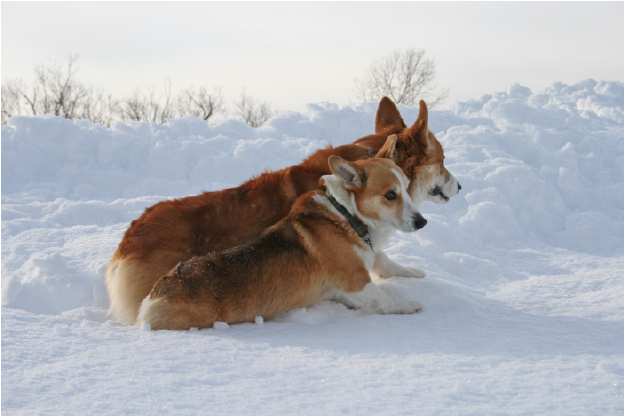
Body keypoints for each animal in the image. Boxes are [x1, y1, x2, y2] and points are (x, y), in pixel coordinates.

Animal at [139, 154, 426, 330]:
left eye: (406, 188)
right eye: (390, 195)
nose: (422, 222)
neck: (347, 214)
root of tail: (154, 295)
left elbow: (387, 263)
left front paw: (415, 273)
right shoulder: (356, 284)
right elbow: (386, 296)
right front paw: (410, 304)